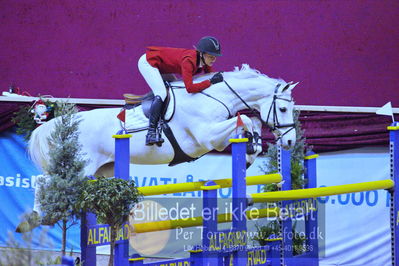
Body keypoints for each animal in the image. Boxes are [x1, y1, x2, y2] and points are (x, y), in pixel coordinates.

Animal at [22, 64, 296, 224]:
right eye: (283, 109)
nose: (291, 141)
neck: (213, 97)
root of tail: (60, 123)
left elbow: (250, 121)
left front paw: (252, 151)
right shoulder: (207, 137)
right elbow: (246, 121)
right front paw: (251, 148)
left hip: (101, 172)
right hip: (80, 167)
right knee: (44, 180)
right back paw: (37, 218)